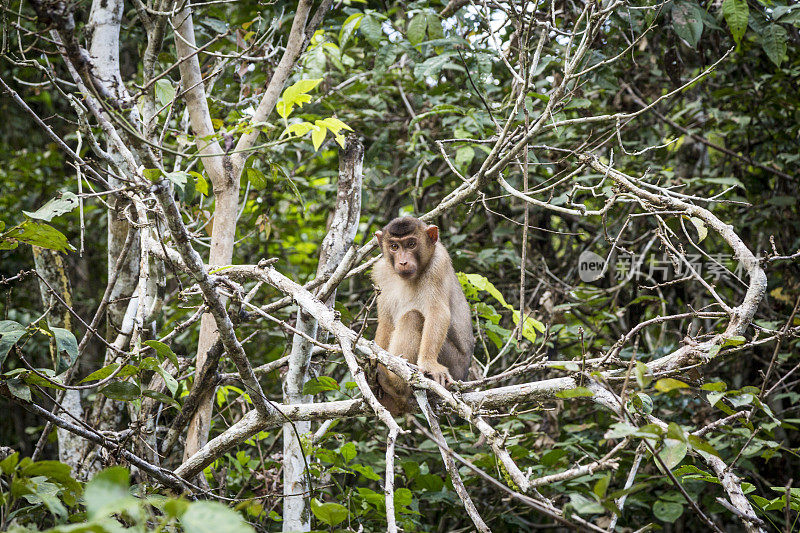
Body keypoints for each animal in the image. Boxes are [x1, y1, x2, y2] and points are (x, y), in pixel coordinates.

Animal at [370, 216, 476, 416]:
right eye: (394, 246)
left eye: (411, 244)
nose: (403, 262)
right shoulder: (380, 272)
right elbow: (386, 323)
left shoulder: (438, 264)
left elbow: (437, 312)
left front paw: (429, 364)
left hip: (454, 364)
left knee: (413, 317)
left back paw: (395, 385)